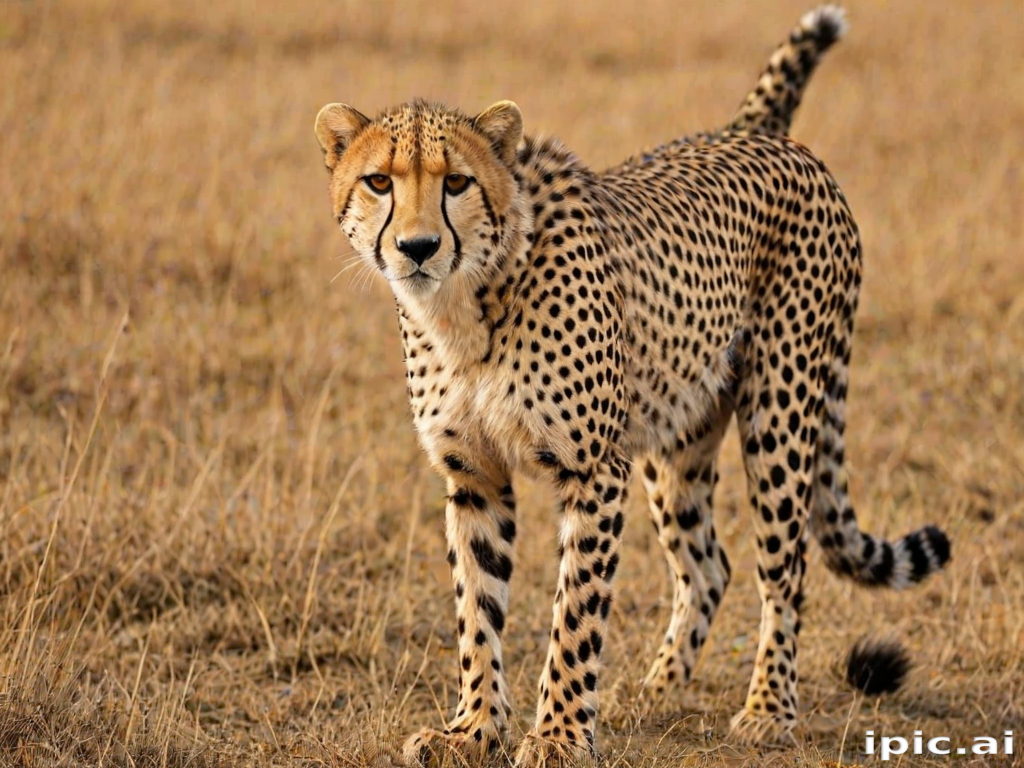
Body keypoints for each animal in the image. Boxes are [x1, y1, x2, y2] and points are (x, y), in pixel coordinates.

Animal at [312, 5, 950, 765]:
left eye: (458, 183)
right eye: (379, 182)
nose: (416, 247)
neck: (467, 303)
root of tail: (753, 133)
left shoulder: (593, 468)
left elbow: (576, 615)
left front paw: (558, 736)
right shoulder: (475, 475)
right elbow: (477, 611)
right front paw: (473, 729)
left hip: (780, 412)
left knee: (784, 570)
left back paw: (768, 709)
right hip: (677, 433)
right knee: (708, 565)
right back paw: (655, 689)